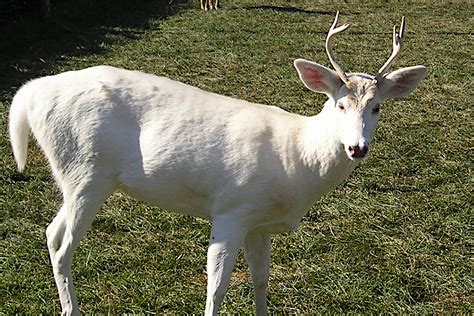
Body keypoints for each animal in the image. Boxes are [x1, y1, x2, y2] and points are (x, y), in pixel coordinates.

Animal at [9, 12, 426, 316]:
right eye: (339, 104)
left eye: (377, 107)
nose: (357, 147)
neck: (295, 159)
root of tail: (29, 94)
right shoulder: (231, 208)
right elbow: (217, 286)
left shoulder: (260, 223)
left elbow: (261, 280)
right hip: (86, 171)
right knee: (63, 246)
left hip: (76, 175)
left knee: (51, 232)